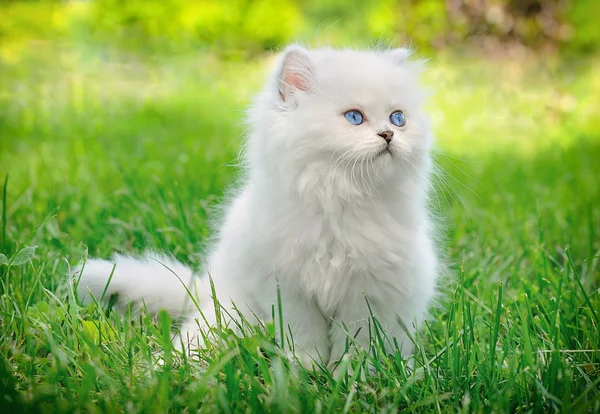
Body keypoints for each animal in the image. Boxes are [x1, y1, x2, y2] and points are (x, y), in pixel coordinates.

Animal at [76, 45, 440, 372]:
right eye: (354, 117)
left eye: (398, 118)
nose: (389, 134)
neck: (338, 197)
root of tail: (206, 292)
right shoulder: (286, 287)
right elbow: (304, 335)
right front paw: (305, 368)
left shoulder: (367, 296)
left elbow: (357, 344)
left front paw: (351, 377)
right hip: (230, 314)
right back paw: (162, 368)